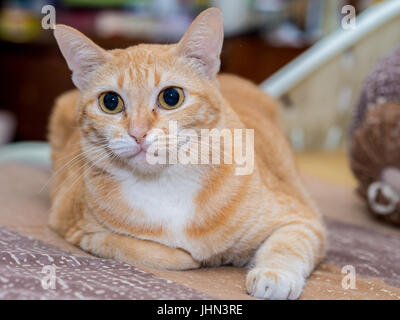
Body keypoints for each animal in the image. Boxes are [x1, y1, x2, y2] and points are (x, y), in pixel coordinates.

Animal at [49, 7, 324, 298]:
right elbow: (149, 251)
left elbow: (288, 244)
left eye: (171, 97)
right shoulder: (74, 227)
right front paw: (191, 257)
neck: (166, 184)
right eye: (110, 102)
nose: (138, 133)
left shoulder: (301, 218)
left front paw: (275, 276)